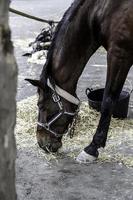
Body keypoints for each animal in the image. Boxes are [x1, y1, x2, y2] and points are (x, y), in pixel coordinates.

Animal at [26, 0, 133, 162]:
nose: (42, 143)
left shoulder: (119, 55)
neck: (100, 12)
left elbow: (108, 101)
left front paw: (92, 148)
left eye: (41, 106)